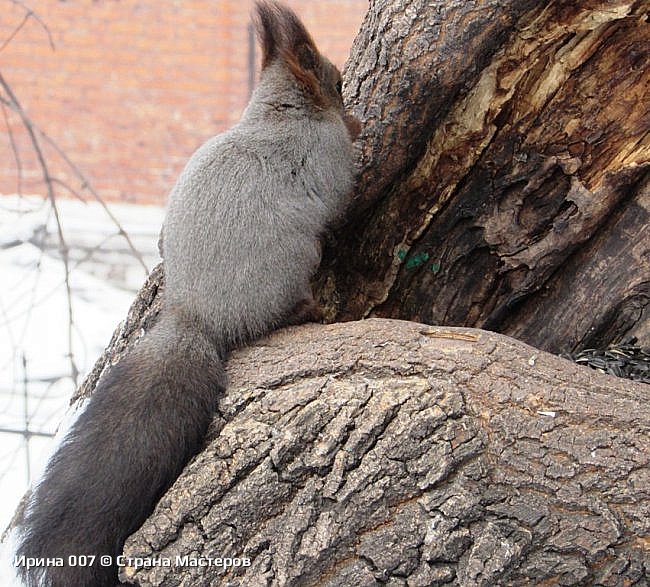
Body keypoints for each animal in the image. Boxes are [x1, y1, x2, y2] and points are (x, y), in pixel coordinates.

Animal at [15, 2, 356, 584]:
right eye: (335, 82)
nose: (352, 114)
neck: (278, 115)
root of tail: (194, 316)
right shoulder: (327, 160)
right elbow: (348, 190)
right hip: (291, 268)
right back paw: (308, 309)